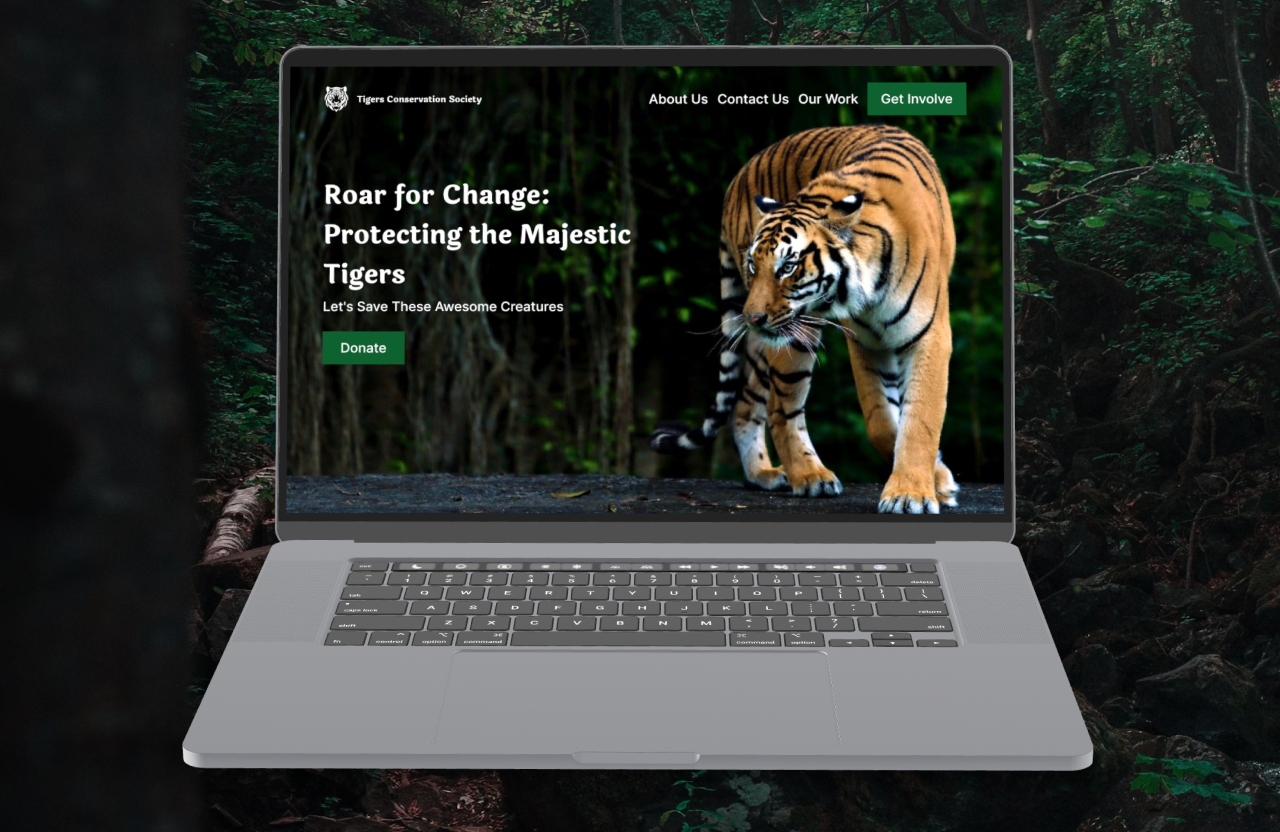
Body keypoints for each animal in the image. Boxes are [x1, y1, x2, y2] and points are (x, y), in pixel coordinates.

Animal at [650, 125, 960, 514]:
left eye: (787, 267)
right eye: (754, 265)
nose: (753, 317)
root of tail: (737, 178)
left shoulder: (927, 336)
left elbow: (919, 418)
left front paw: (914, 492)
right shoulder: (864, 342)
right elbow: (879, 420)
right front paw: (926, 484)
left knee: (745, 404)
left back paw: (762, 474)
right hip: (793, 337)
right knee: (779, 409)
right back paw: (810, 476)